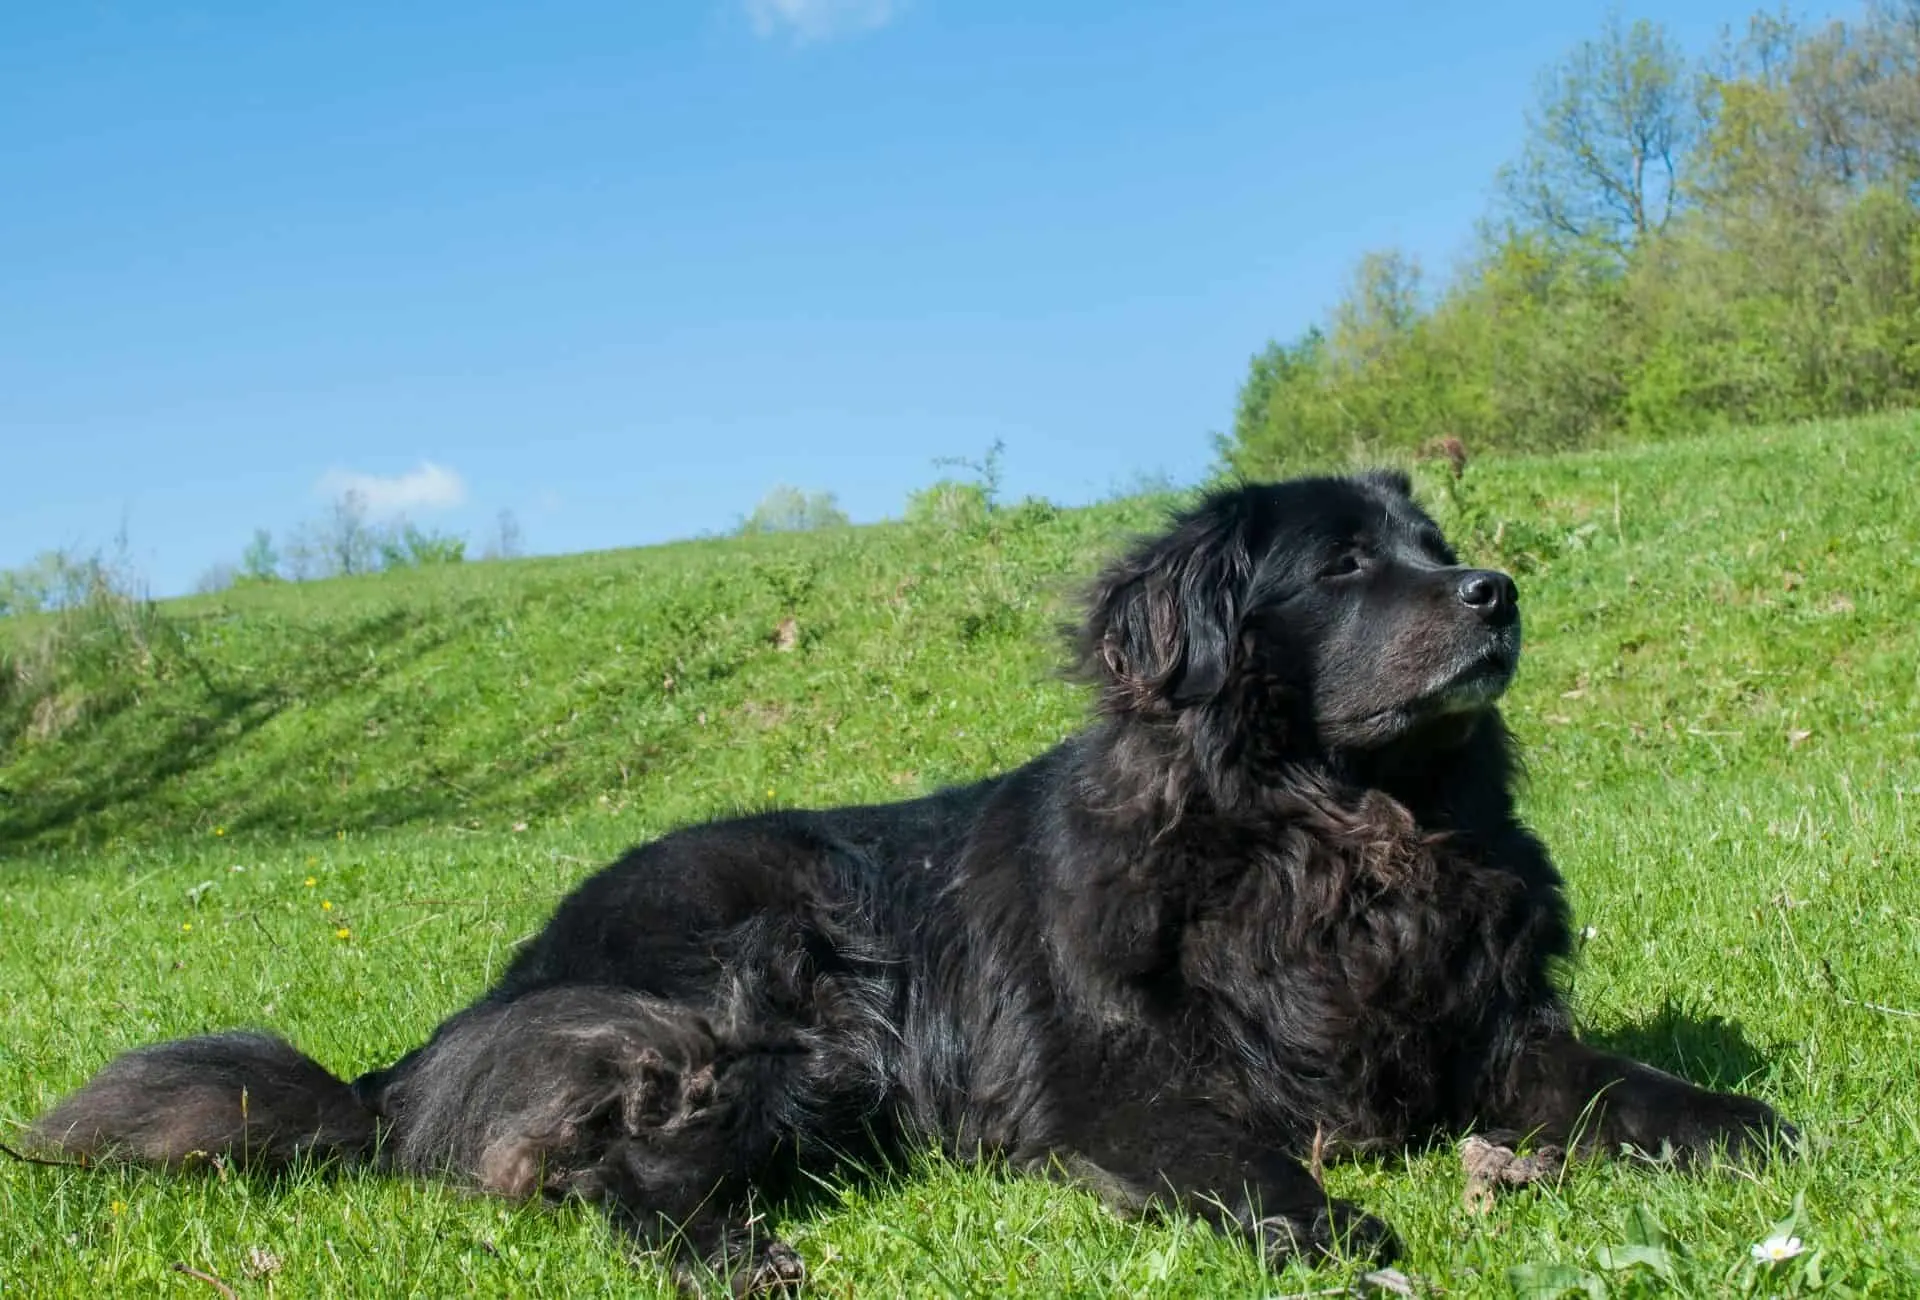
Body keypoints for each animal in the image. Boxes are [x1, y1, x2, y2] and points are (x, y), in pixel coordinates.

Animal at [22, 472, 1789, 1290]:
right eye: (1348, 565)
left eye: (1436, 539)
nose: (1498, 592)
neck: (1329, 843)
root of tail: (475, 1009)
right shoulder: (1109, 1091)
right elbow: (1241, 1162)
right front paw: (1333, 1227)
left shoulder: (1482, 1032)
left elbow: (1609, 1079)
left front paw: (1735, 1123)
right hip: (773, 993)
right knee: (607, 1169)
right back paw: (738, 1257)